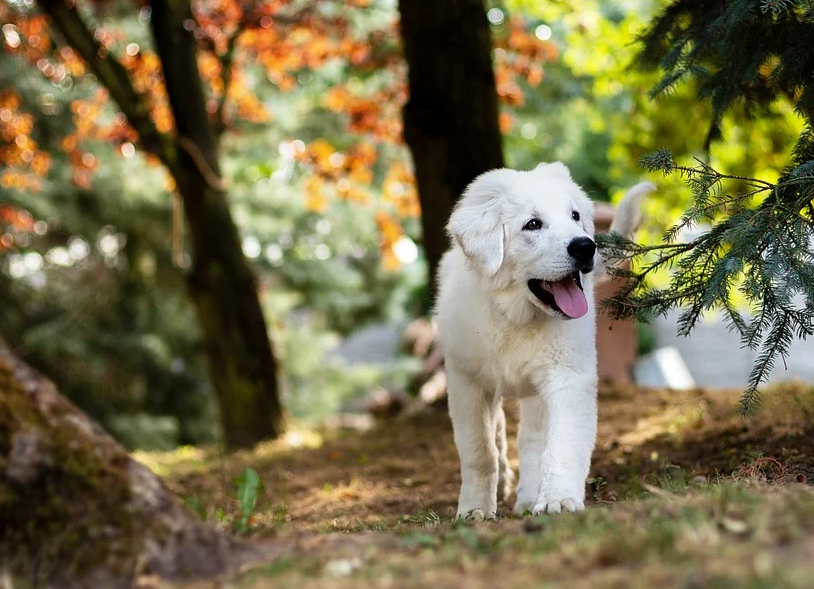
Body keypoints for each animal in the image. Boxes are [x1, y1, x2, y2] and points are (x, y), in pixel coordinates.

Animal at [436, 163, 652, 516]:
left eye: (575, 215)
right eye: (533, 224)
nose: (585, 246)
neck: (516, 317)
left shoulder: (567, 377)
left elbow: (560, 444)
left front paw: (558, 499)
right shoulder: (466, 381)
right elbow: (479, 451)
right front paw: (474, 508)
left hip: (537, 390)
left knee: (532, 440)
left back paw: (528, 498)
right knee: (499, 432)